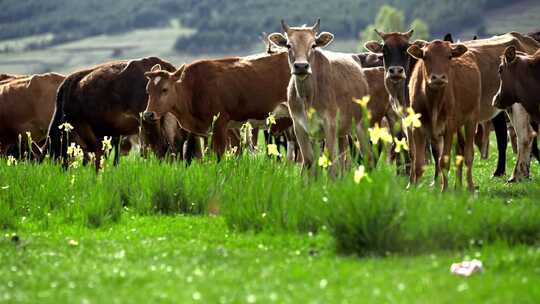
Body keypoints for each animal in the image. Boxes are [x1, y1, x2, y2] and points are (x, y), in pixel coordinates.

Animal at [408, 40, 478, 191]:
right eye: (425, 56)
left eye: (449, 56)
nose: (438, 77)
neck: (433, 101)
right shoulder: (417, 128)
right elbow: (418, 164)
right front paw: (415, 190)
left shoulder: (449, 128)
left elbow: (444, 161)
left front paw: (444, 191)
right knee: (459, 152)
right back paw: (457, 186)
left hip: (471, 119)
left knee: (468, 155)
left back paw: (470, 187)